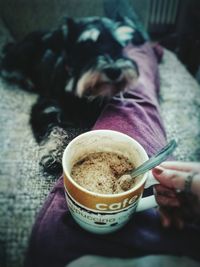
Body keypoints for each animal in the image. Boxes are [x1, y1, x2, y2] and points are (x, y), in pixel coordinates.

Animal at [0, 15, 146, 177]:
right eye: (85, 45)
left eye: (119, 46)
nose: (114, 71)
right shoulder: (45, 107)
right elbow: (54, 128)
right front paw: (52, 153)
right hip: (16, 59)